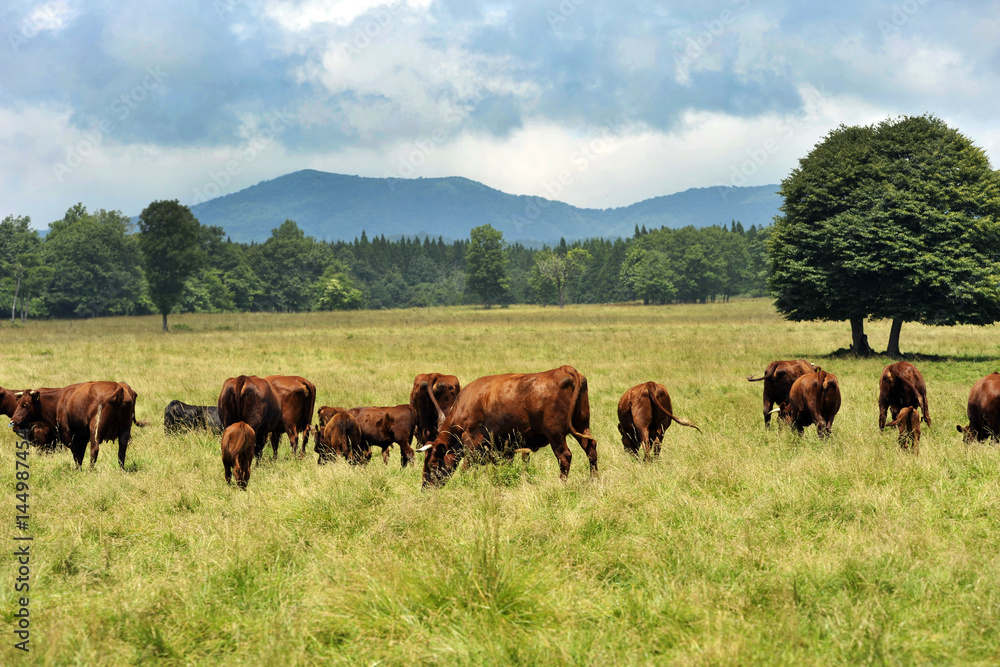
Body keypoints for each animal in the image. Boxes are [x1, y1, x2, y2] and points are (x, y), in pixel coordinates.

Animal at [10, 380, 141, 470]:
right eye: (18, 402)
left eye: (26, 404)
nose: (13, 421)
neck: (59, 399)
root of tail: (119, 387)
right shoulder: (81, 436)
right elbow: (80, 454)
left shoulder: (70, 435)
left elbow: (77, 455)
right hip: (124, 430)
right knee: (122, 452)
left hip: (96, 429)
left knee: (94, 449)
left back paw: (90, 470)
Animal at [418, 368, 596, 488]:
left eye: (432, 463)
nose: (424, 487)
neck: (465, 404)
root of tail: (564, 369)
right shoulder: (506, 447)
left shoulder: (472, 442)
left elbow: (467, 466)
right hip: (582, 427)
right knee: (591, 448)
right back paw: (594, 480)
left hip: (555, 434)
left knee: (564, 456)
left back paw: (561, 484)